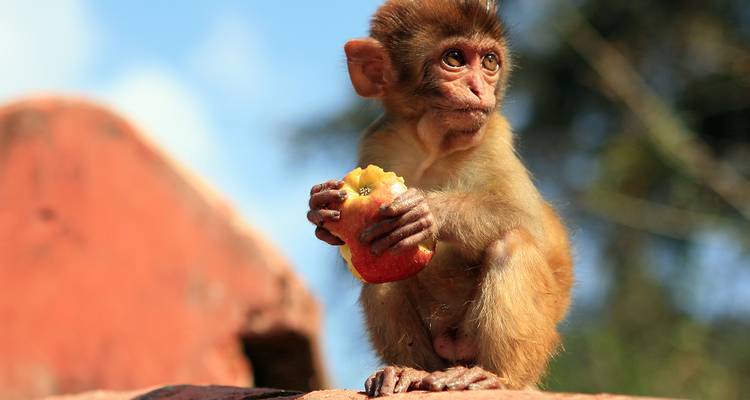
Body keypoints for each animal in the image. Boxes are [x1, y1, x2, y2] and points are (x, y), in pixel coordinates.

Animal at [307, 0, 573, 396]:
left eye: (489, 61)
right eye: (455, 58)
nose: (479, 89)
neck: (433, 145)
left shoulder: (494, 136)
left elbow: (526, 220)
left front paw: (427, 211)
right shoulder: (379, 139)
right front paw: (321, 211)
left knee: (513, 243)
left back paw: (494, 376)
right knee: (381, 273)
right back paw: (407, 372)